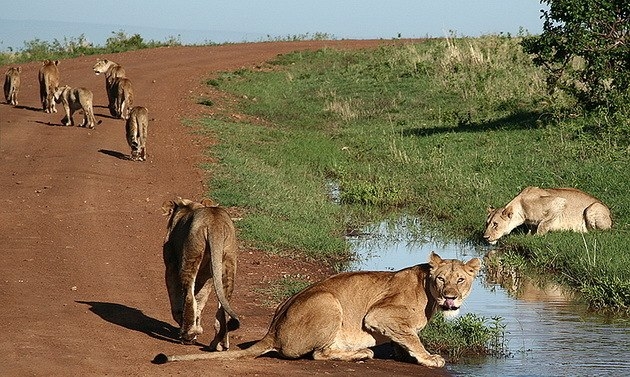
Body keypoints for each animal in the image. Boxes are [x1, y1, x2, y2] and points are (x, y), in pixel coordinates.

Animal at [156, 251, 482, 366]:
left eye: (461, 280)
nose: (450, 297)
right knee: (317, 354)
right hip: (329, 301)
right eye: (441, 279)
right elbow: (412, 337)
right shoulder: (378, 314)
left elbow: (405, 338)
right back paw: (362, 353)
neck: (427, 290)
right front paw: (429, 358)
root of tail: (273, 331)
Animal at [162, 197, 241, 350]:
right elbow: (200, 300)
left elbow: (177, 301)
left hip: (191, 254)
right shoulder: (207, 276)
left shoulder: (171, 265)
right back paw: (219, 344)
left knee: (188, 296)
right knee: (223, 304)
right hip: (228, 259)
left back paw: (188, 335)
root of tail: (215, 223)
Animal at [486, 185, 616, 244]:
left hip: (593, 207)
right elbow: (532, 227)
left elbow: (543, 224)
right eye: (487, 224)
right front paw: (528, 235)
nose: (485, 237)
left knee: (598, 232)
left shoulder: (559, 201)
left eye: (495, 224)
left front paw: (535, 238)